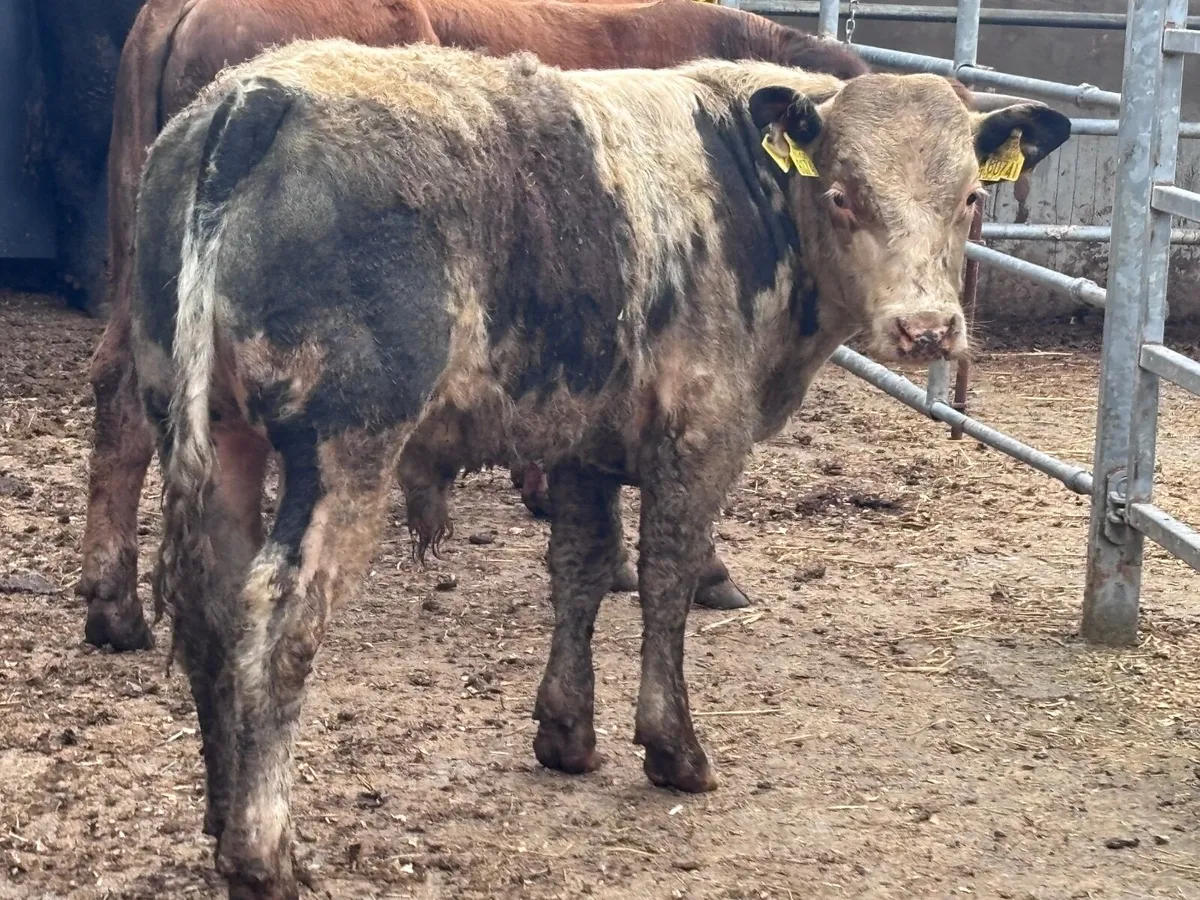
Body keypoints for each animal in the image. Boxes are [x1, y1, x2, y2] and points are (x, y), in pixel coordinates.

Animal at [131, 38, 1070, 899]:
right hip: (347, 446)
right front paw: (673, 747)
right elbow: (666, 577)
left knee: (212, 607)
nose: (927, 327)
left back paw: (220, 822)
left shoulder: (580, 443)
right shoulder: (700, 436)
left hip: (215, 435)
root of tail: (258, 94)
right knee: (281, 616)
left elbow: (580, 572)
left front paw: (565, 733)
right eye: (843, 195)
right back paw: (264, 857)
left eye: (970, 198)